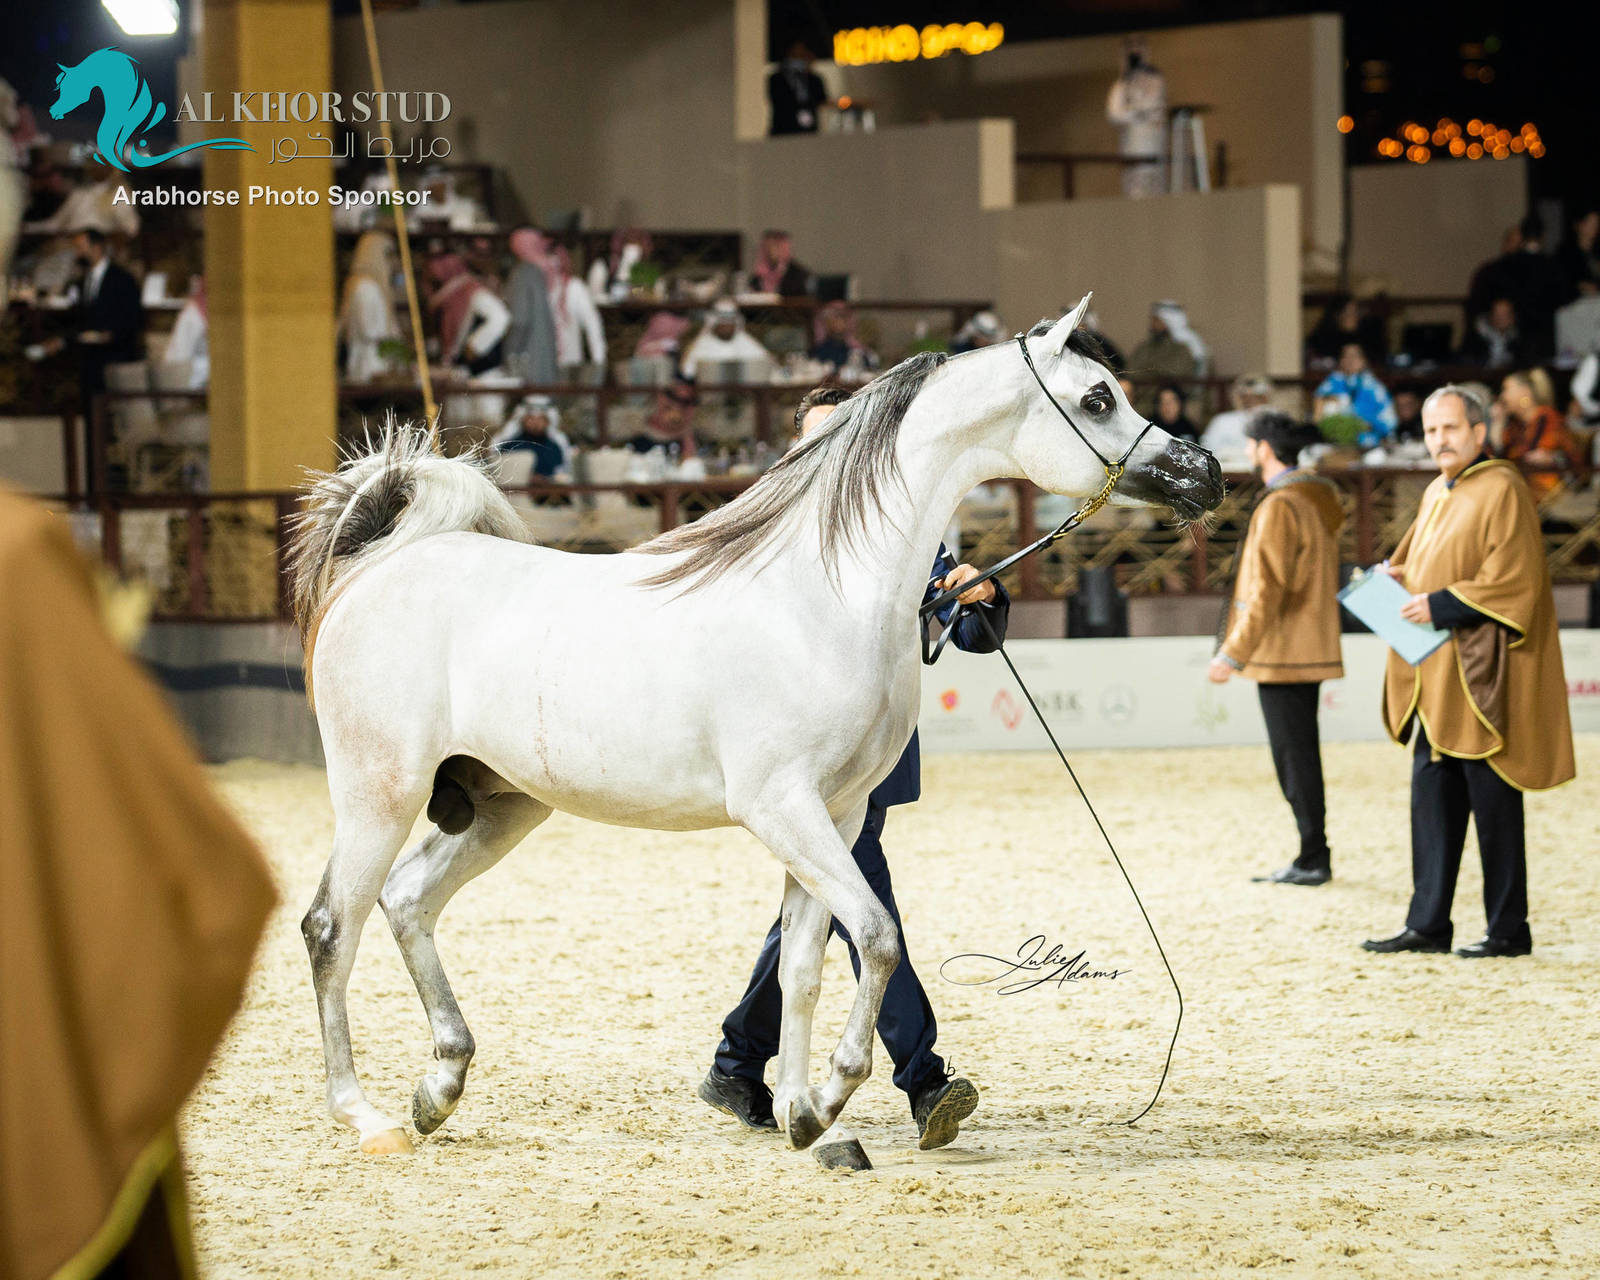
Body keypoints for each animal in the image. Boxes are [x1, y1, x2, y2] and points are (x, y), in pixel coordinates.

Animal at [288, 294, 1225, 1165]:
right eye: (1098, 398)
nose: (1205, 474)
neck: (822, 592)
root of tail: (381, 567)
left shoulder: (837, 814)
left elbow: (806, 966)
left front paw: (809, 1120)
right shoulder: (784, 809)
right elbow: (878, 938)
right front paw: (835, 1093)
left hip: (504, 804)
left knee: (408, 901)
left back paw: (439, 1087)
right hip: (380, 793)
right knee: (333, 926)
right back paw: (364, 1115)